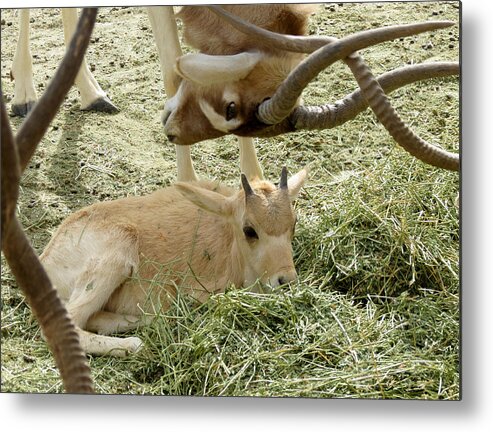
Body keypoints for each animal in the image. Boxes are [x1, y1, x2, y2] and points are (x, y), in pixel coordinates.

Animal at [40, 167, 306, 356]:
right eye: (249, 230)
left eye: (293, 223)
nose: (285, 280)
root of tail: (48, 256)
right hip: (115, 257)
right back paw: (133, 344)